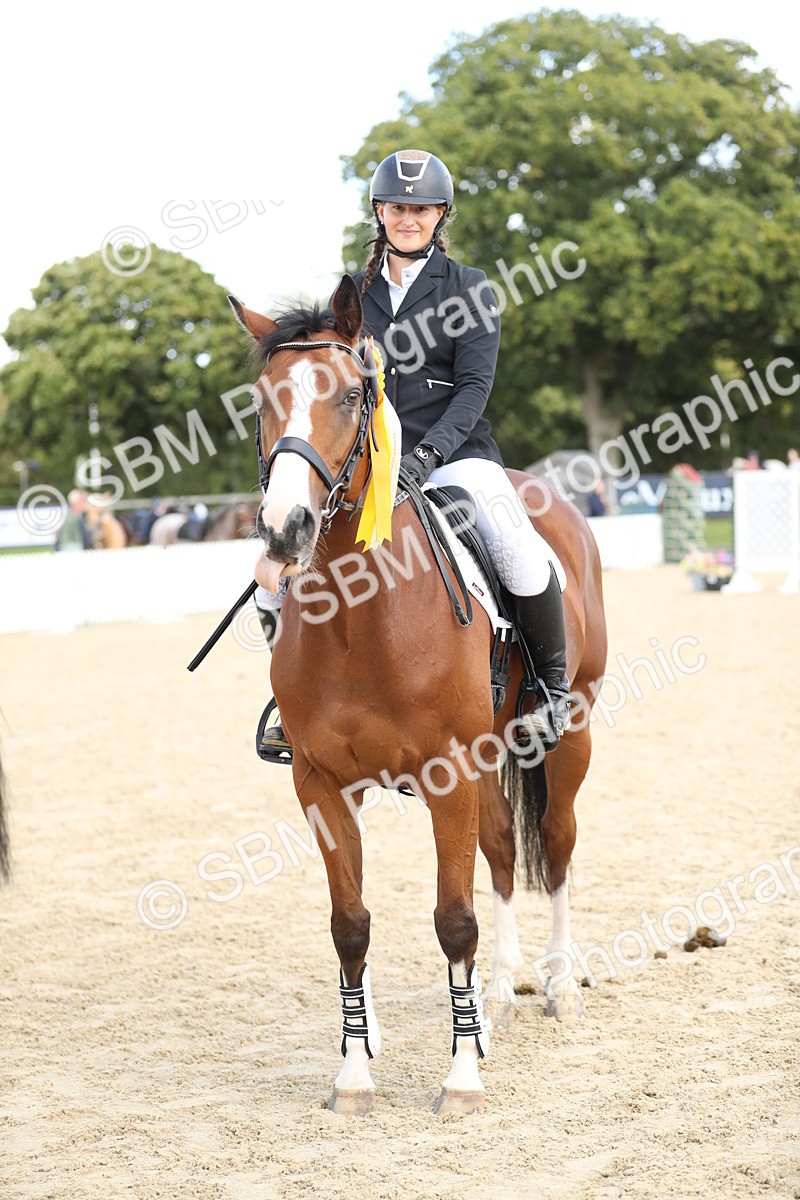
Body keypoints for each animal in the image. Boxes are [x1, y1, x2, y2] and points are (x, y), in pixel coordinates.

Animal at [230, 275, 607, 1115]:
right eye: (262, 401)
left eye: (349, 395)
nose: (284, 529)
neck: (361, 622)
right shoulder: (322, 782)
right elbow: (350, 925)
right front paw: (354, 1070)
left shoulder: (448, 775)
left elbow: (453, 919)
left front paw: (461, 1079)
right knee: (503, 849)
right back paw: (497, 997)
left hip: (569, 733)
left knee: (558, 845)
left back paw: (560, 989)